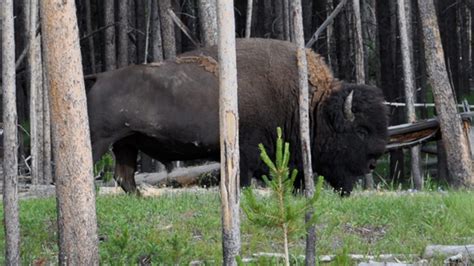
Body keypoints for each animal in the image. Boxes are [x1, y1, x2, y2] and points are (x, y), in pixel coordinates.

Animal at [87, 38, 386, 195]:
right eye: (361, 131)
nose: (373, 164)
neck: (309, 104)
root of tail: (99, 76)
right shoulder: (245, 151)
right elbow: (241, 178)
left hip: (126, 143)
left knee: (124, 177)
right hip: (100, 141)